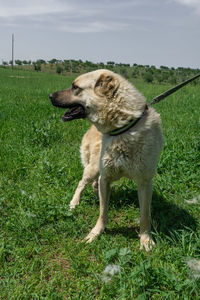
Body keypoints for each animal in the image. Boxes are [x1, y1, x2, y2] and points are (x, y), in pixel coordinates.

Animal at [49, 70, 163, 251]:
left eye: (75, 87)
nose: (50, 96)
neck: (124, 127)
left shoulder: (145, 182)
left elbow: (145, 215)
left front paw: (145, 239)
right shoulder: (106, 177)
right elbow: (103, 211)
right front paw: (96, 233)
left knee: (95, 185)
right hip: (93, 169)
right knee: (82, 183)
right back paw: (74, 203)